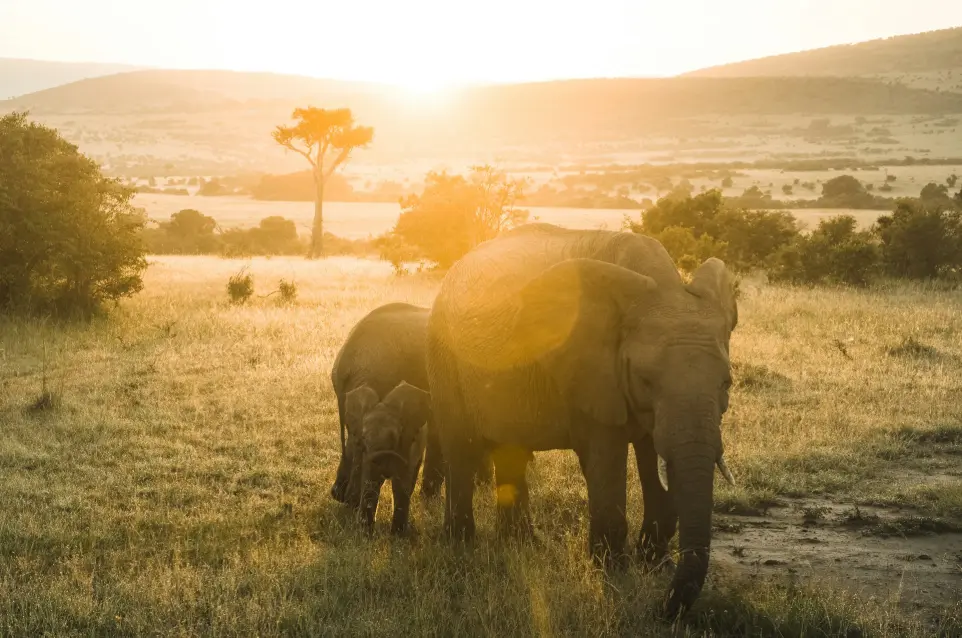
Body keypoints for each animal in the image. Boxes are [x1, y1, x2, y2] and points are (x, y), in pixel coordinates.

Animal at [343, 381, 431, 534]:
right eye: (364, 438)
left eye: (394, 438)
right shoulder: (366, 452)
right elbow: (370, 480)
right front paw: (365, 532)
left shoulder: (406, 446)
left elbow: (400, 485)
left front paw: (398, 535)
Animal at [425, 223, 738, 617]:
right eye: (646, 380)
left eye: (726, 383)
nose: (660, 609)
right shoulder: (591, 373)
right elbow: (606, 458)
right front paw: (615, 573)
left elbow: (653, 458)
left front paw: (652, 565)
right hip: (444, 353)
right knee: (462, 448)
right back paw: (461, 544)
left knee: (511, 451)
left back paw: (522, 545)